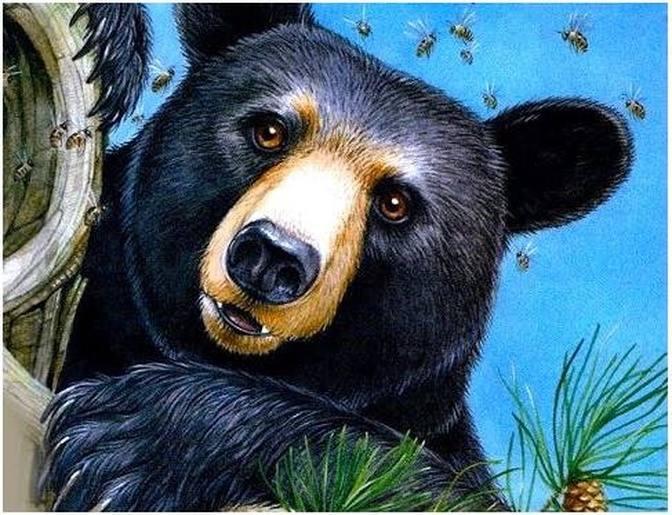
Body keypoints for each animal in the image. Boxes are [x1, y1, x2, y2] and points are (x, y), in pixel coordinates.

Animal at [41, 3, 633, 511]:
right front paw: (111, 34)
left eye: (395, 203)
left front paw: (134, 436)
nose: (271, 257)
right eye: (269, 131)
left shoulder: (434, 432)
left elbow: (432, 486)